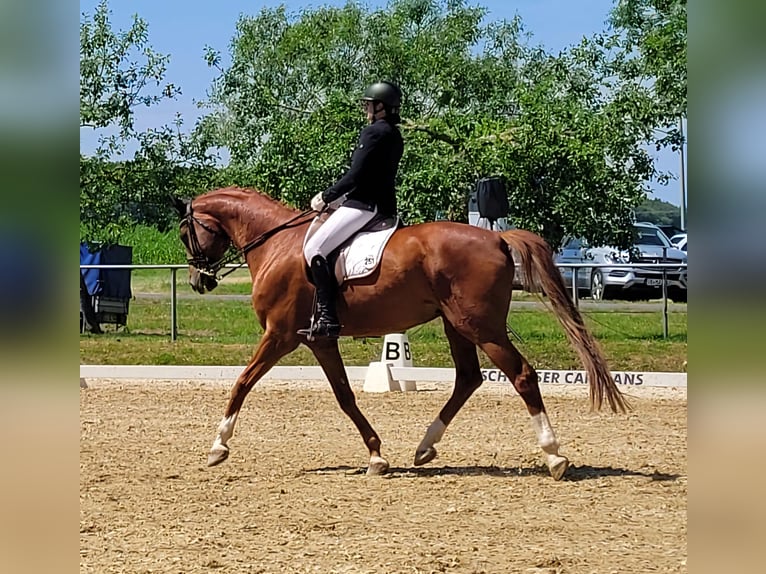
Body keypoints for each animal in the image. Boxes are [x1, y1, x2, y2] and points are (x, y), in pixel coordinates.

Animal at [175, 186, 628, 481]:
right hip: (455, 324)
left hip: (480, 326)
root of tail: (497, 237)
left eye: (185, 232)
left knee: (521, 376)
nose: (199, 281)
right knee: (468, 378)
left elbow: (241, 383)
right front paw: (376, 455)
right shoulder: (319, 339)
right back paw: (425, 447)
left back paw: (554, 456)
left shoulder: (280, 335)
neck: (278, 244)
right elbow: (345, 396)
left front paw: (218, 446)